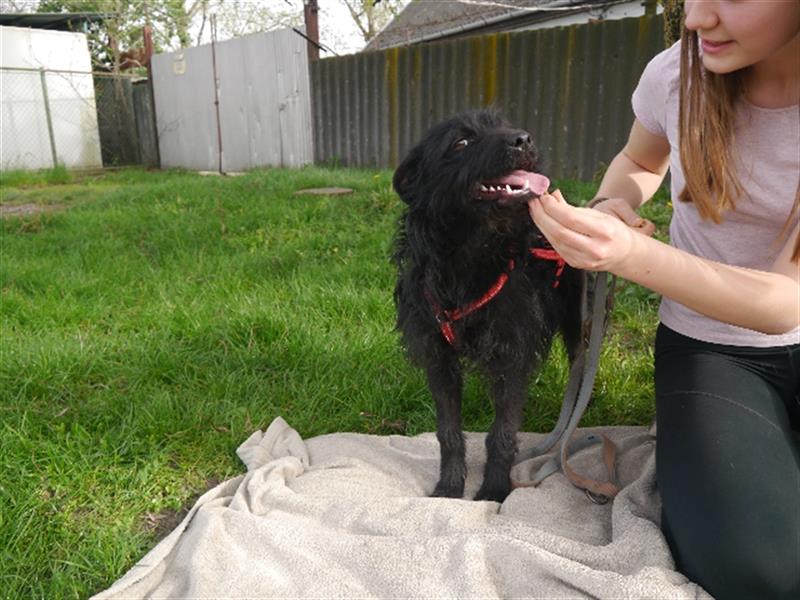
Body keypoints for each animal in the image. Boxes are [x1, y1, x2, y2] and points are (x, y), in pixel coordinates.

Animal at [392, 111, 580, 502]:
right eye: (461, 142)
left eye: (505, 124)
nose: (524, 139)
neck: (472, 257)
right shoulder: (439, 357)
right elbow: (448, 432)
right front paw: (450, 488)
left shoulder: (511, 355)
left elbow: (502, 433)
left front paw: (493, 489)